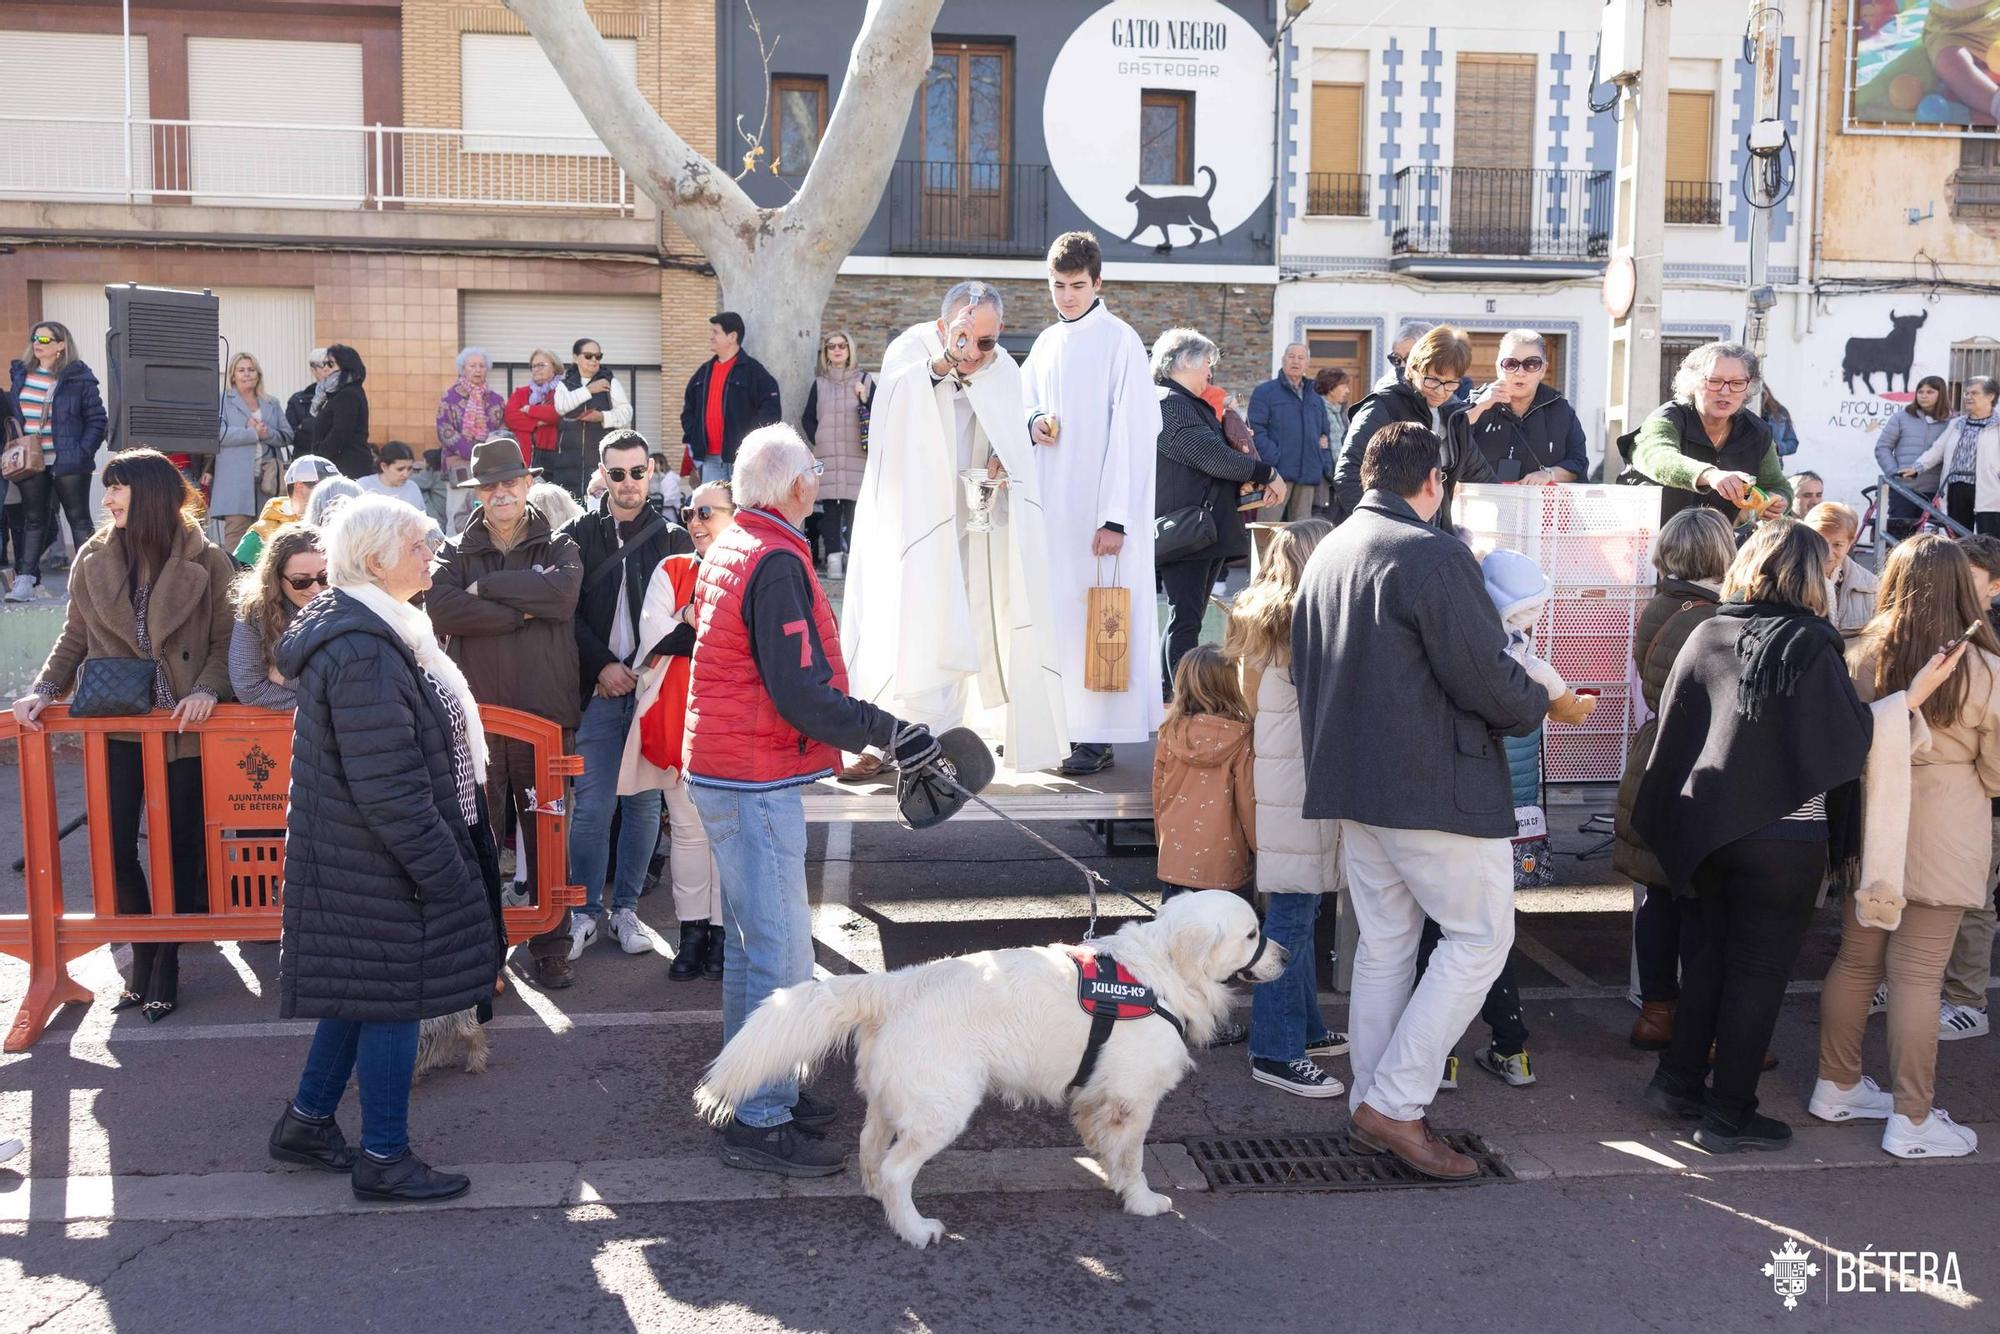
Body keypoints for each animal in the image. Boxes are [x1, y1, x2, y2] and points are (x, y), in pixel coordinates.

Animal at [692, 892, 1280, 1248]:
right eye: (1253, 934)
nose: (1289, 955)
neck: (1161, 975)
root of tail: (896, 984)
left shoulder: (1100, 1099)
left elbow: (1108, 1148)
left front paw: (1114, 1180)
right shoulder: (1132, 1099)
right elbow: (1133, 1159)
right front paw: (1142, 1201)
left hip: (891, 1097)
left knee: (870, 1150)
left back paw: (880, 1200)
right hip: (942, 1108)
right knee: (898, 1169)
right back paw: (915, 1229)